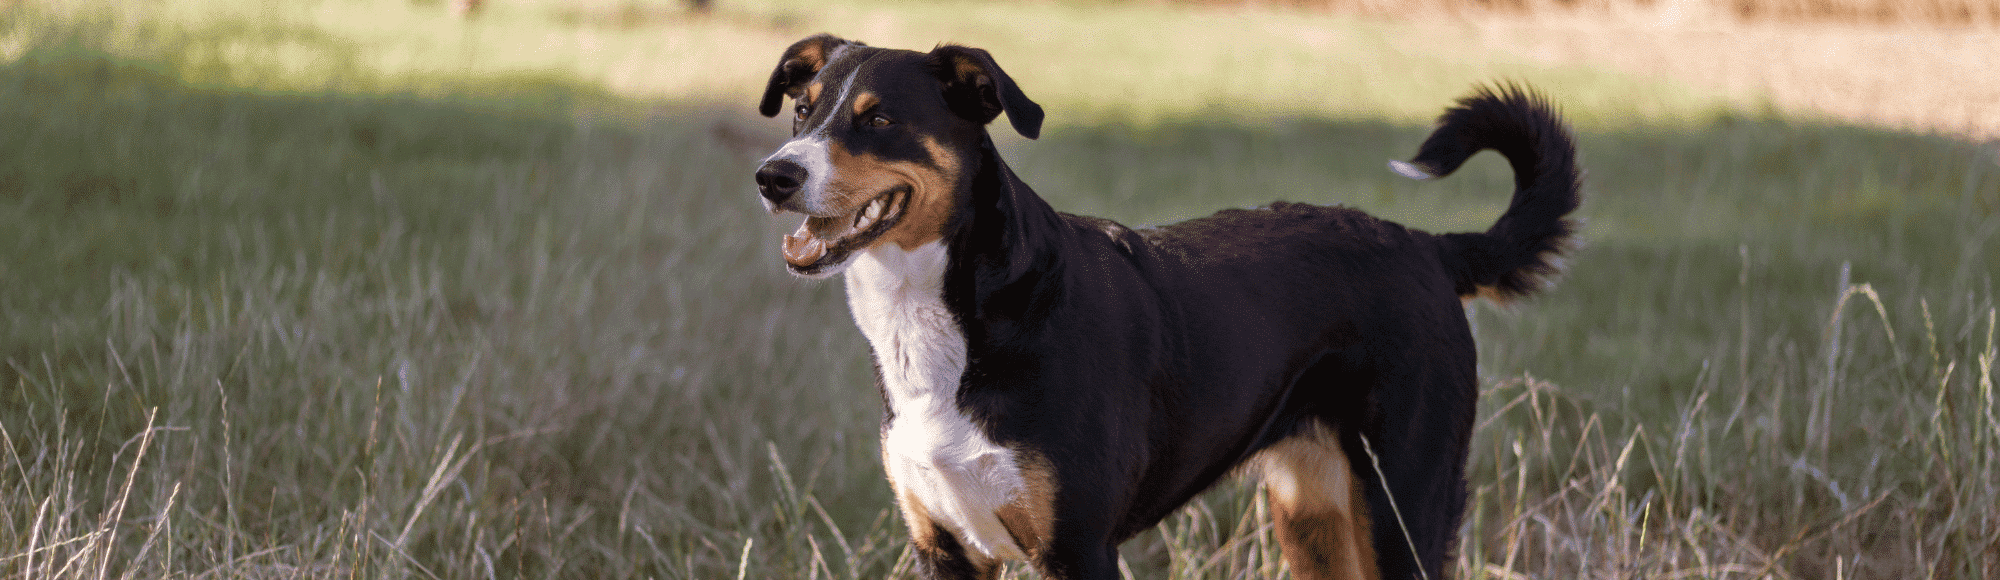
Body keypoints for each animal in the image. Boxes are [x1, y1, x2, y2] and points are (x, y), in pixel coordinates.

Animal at [752, 34, 1576, 576]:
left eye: (879, 118)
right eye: (801, 112)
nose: (773, 176)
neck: (949, 319)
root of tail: (1425, 245)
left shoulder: (1079, 548)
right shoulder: (945, 549)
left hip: (1403, 503)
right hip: (1316, 514)